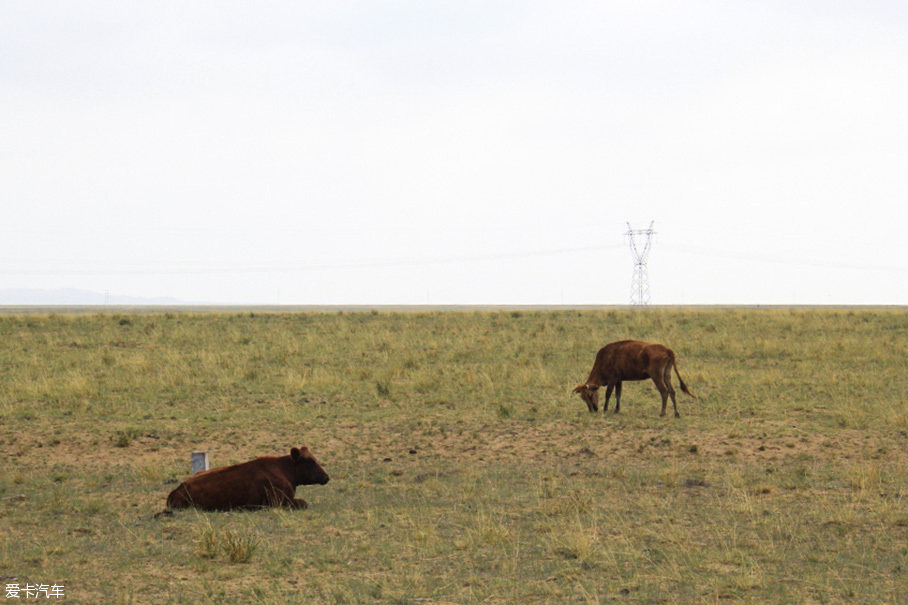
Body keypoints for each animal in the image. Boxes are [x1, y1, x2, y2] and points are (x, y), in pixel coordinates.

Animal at [167, 444, 330, 510]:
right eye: (309, 461)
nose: (326, 477)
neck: (285, 470)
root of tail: (177, 490)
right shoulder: (279, 502)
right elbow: (303, 502)